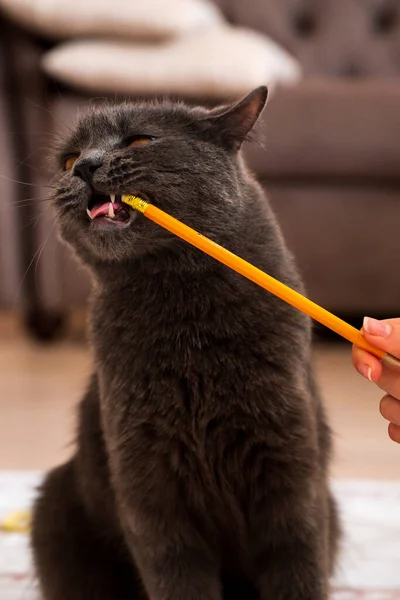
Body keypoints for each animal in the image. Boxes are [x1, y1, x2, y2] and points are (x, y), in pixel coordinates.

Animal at [31, 85, 340, 600]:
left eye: (139, 141)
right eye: (68, 158)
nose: (85, 166)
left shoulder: (291, 474)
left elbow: (298, 567)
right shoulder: (148, 484)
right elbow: (176, 576)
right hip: (55, 509)